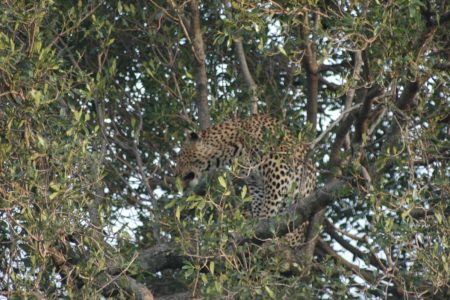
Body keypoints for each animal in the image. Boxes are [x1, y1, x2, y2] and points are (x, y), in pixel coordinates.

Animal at [175, 115, 316, 246]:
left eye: (180, 157)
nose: (176, 173)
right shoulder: (255, 182)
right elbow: (258, 203)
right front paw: (254, 223)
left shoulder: (278, 170)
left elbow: (270, 202)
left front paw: (263, 220)